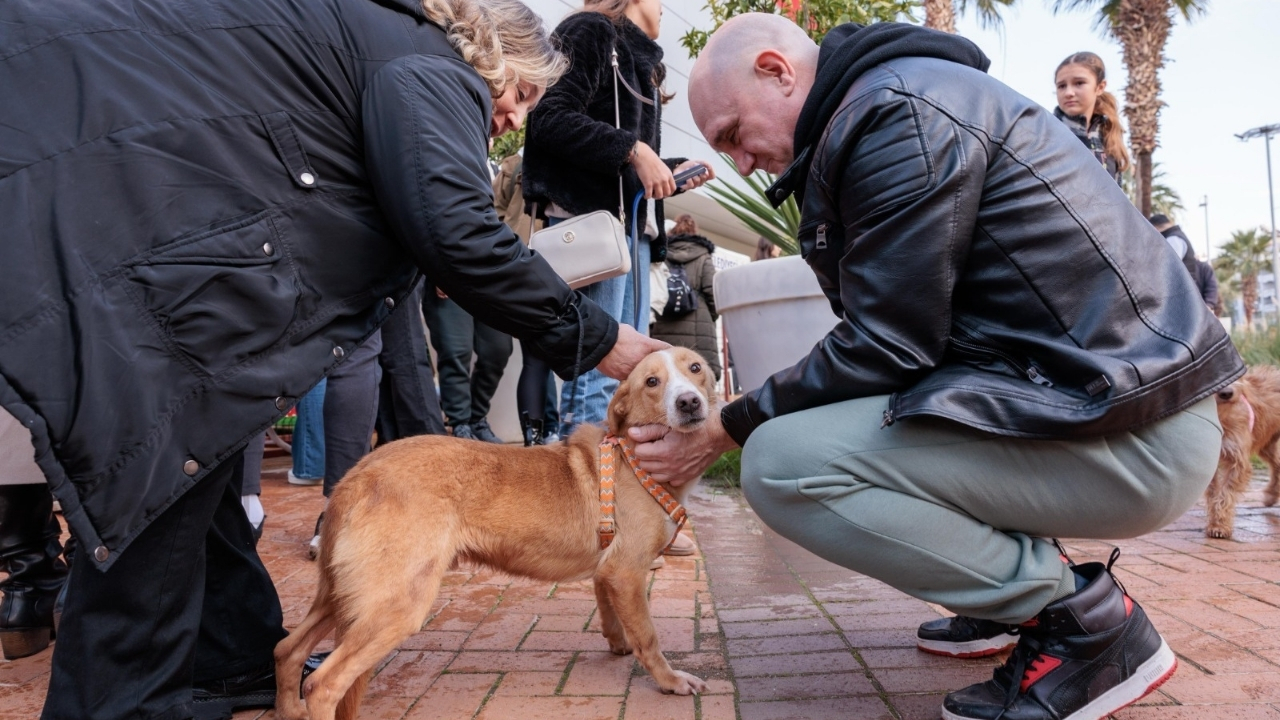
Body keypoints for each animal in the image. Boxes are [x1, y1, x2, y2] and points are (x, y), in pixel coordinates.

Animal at [273, 348, 721, 717]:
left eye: (696, 369)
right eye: (651, 382)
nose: (689, 402)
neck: (632, 456)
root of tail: (356, 476)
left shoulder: (607, 571)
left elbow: (610, 614)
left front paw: (617, 643)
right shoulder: (626, 573)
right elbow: (649, 636)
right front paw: (670, 681)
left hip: (345, 593)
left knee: (287, 650)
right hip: (397, 603)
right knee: (323, 683)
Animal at [1203, 366, 1280, 535]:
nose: (1226, 393)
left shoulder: (1238, 461)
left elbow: (1226, 493)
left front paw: (1220, 524)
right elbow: (1213, 492)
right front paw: (1215, 521)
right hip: (1267, 446)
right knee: (1277, 464)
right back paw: (1271, 495)